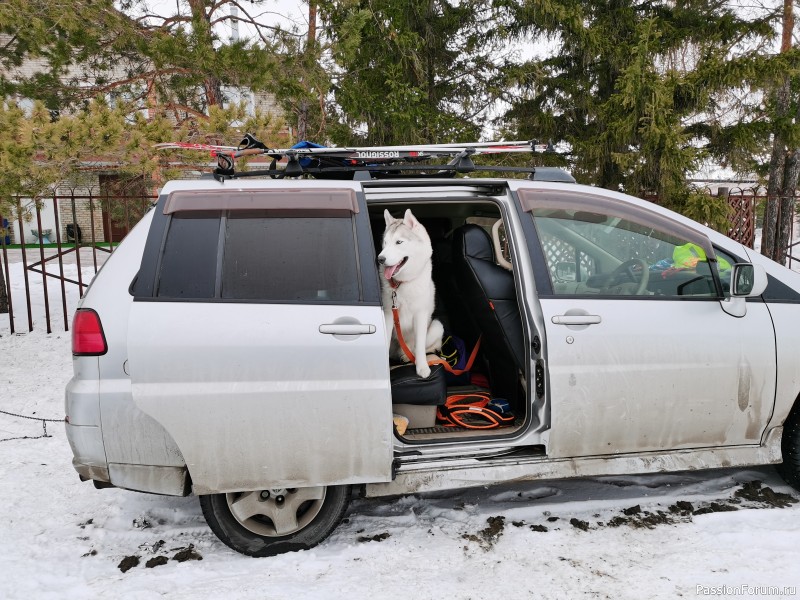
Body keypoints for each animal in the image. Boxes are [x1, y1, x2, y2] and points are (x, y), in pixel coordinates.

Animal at [380, 211, 446, 380]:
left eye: (399, 242)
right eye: (385, 243)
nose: (380, 259)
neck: (402, 284)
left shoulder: (420, 315)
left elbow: (420, 345)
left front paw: (422, 367)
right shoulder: (388, 314)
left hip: (437, 326)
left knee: (421, 347)